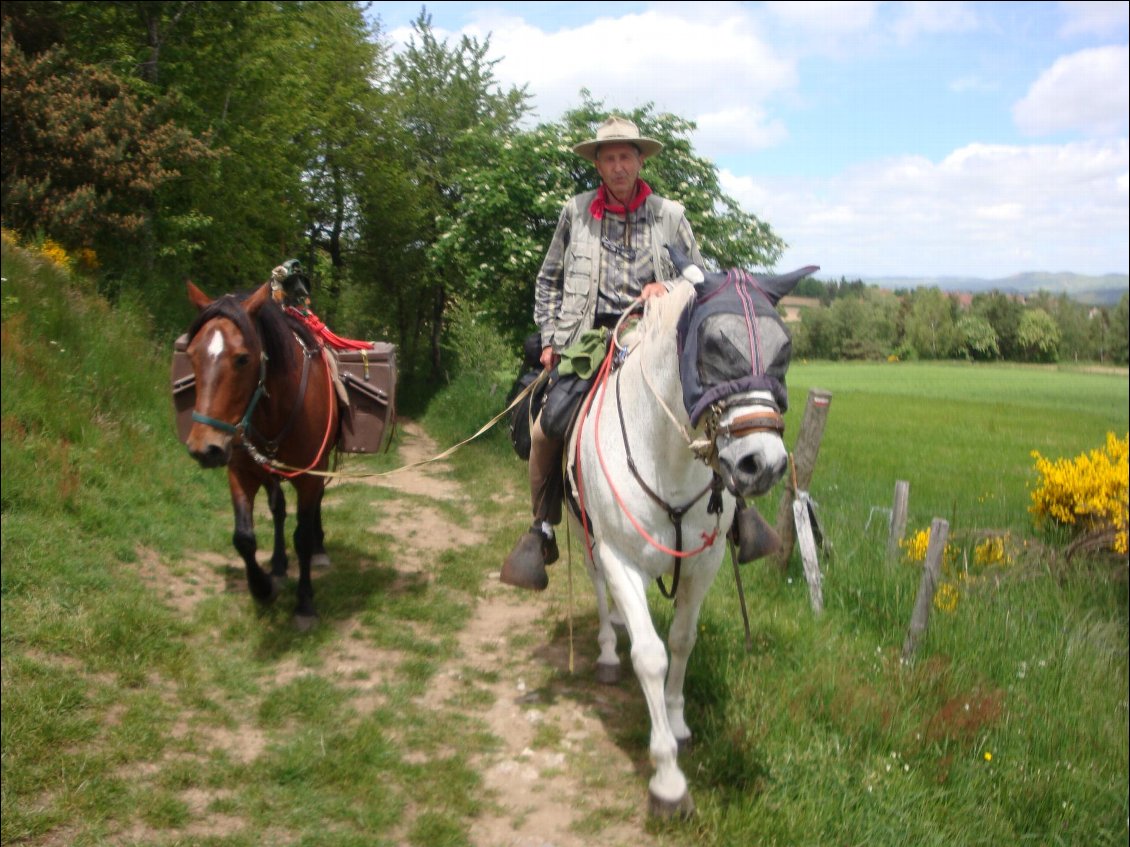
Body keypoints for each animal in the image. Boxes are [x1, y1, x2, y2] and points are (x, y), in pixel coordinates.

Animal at [181, 282, 334, 627]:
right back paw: (277, 565)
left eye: (242, 359)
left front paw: (305, 604)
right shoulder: (242, 472)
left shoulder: (309, 477)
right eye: (192, 355)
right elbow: (243, 538)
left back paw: (319, 550)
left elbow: (303, 537)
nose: (204, 448)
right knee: (278, 510)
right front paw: (262, 587)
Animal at [565, 250, 813, 817]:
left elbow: (681, 640)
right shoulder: (621, 561)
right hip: (588, 538)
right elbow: (650, 656)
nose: (762, 464)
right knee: (597, 588)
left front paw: (676, 723)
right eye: (715, 345)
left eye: (785, 348)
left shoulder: (705, 562)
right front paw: (667, 778)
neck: (667, 459)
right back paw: (607, 650)